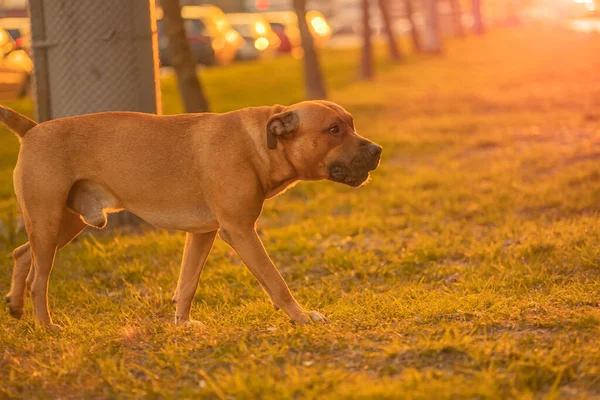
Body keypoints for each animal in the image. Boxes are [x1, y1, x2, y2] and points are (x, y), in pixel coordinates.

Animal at [1, 101, 380, 330]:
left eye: (351, 124)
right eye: (333, 130)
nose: (377, 150)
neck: (258, 144)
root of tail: (32, 128)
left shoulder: (202, 233)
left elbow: (187, 283)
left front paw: (181, 324)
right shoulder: (240, 231)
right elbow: (277, 283)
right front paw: (301, 318)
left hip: (63, 225)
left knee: (21, 254)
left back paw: (16, 306)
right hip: (50, 222)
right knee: (38, 280)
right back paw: (46, 326)